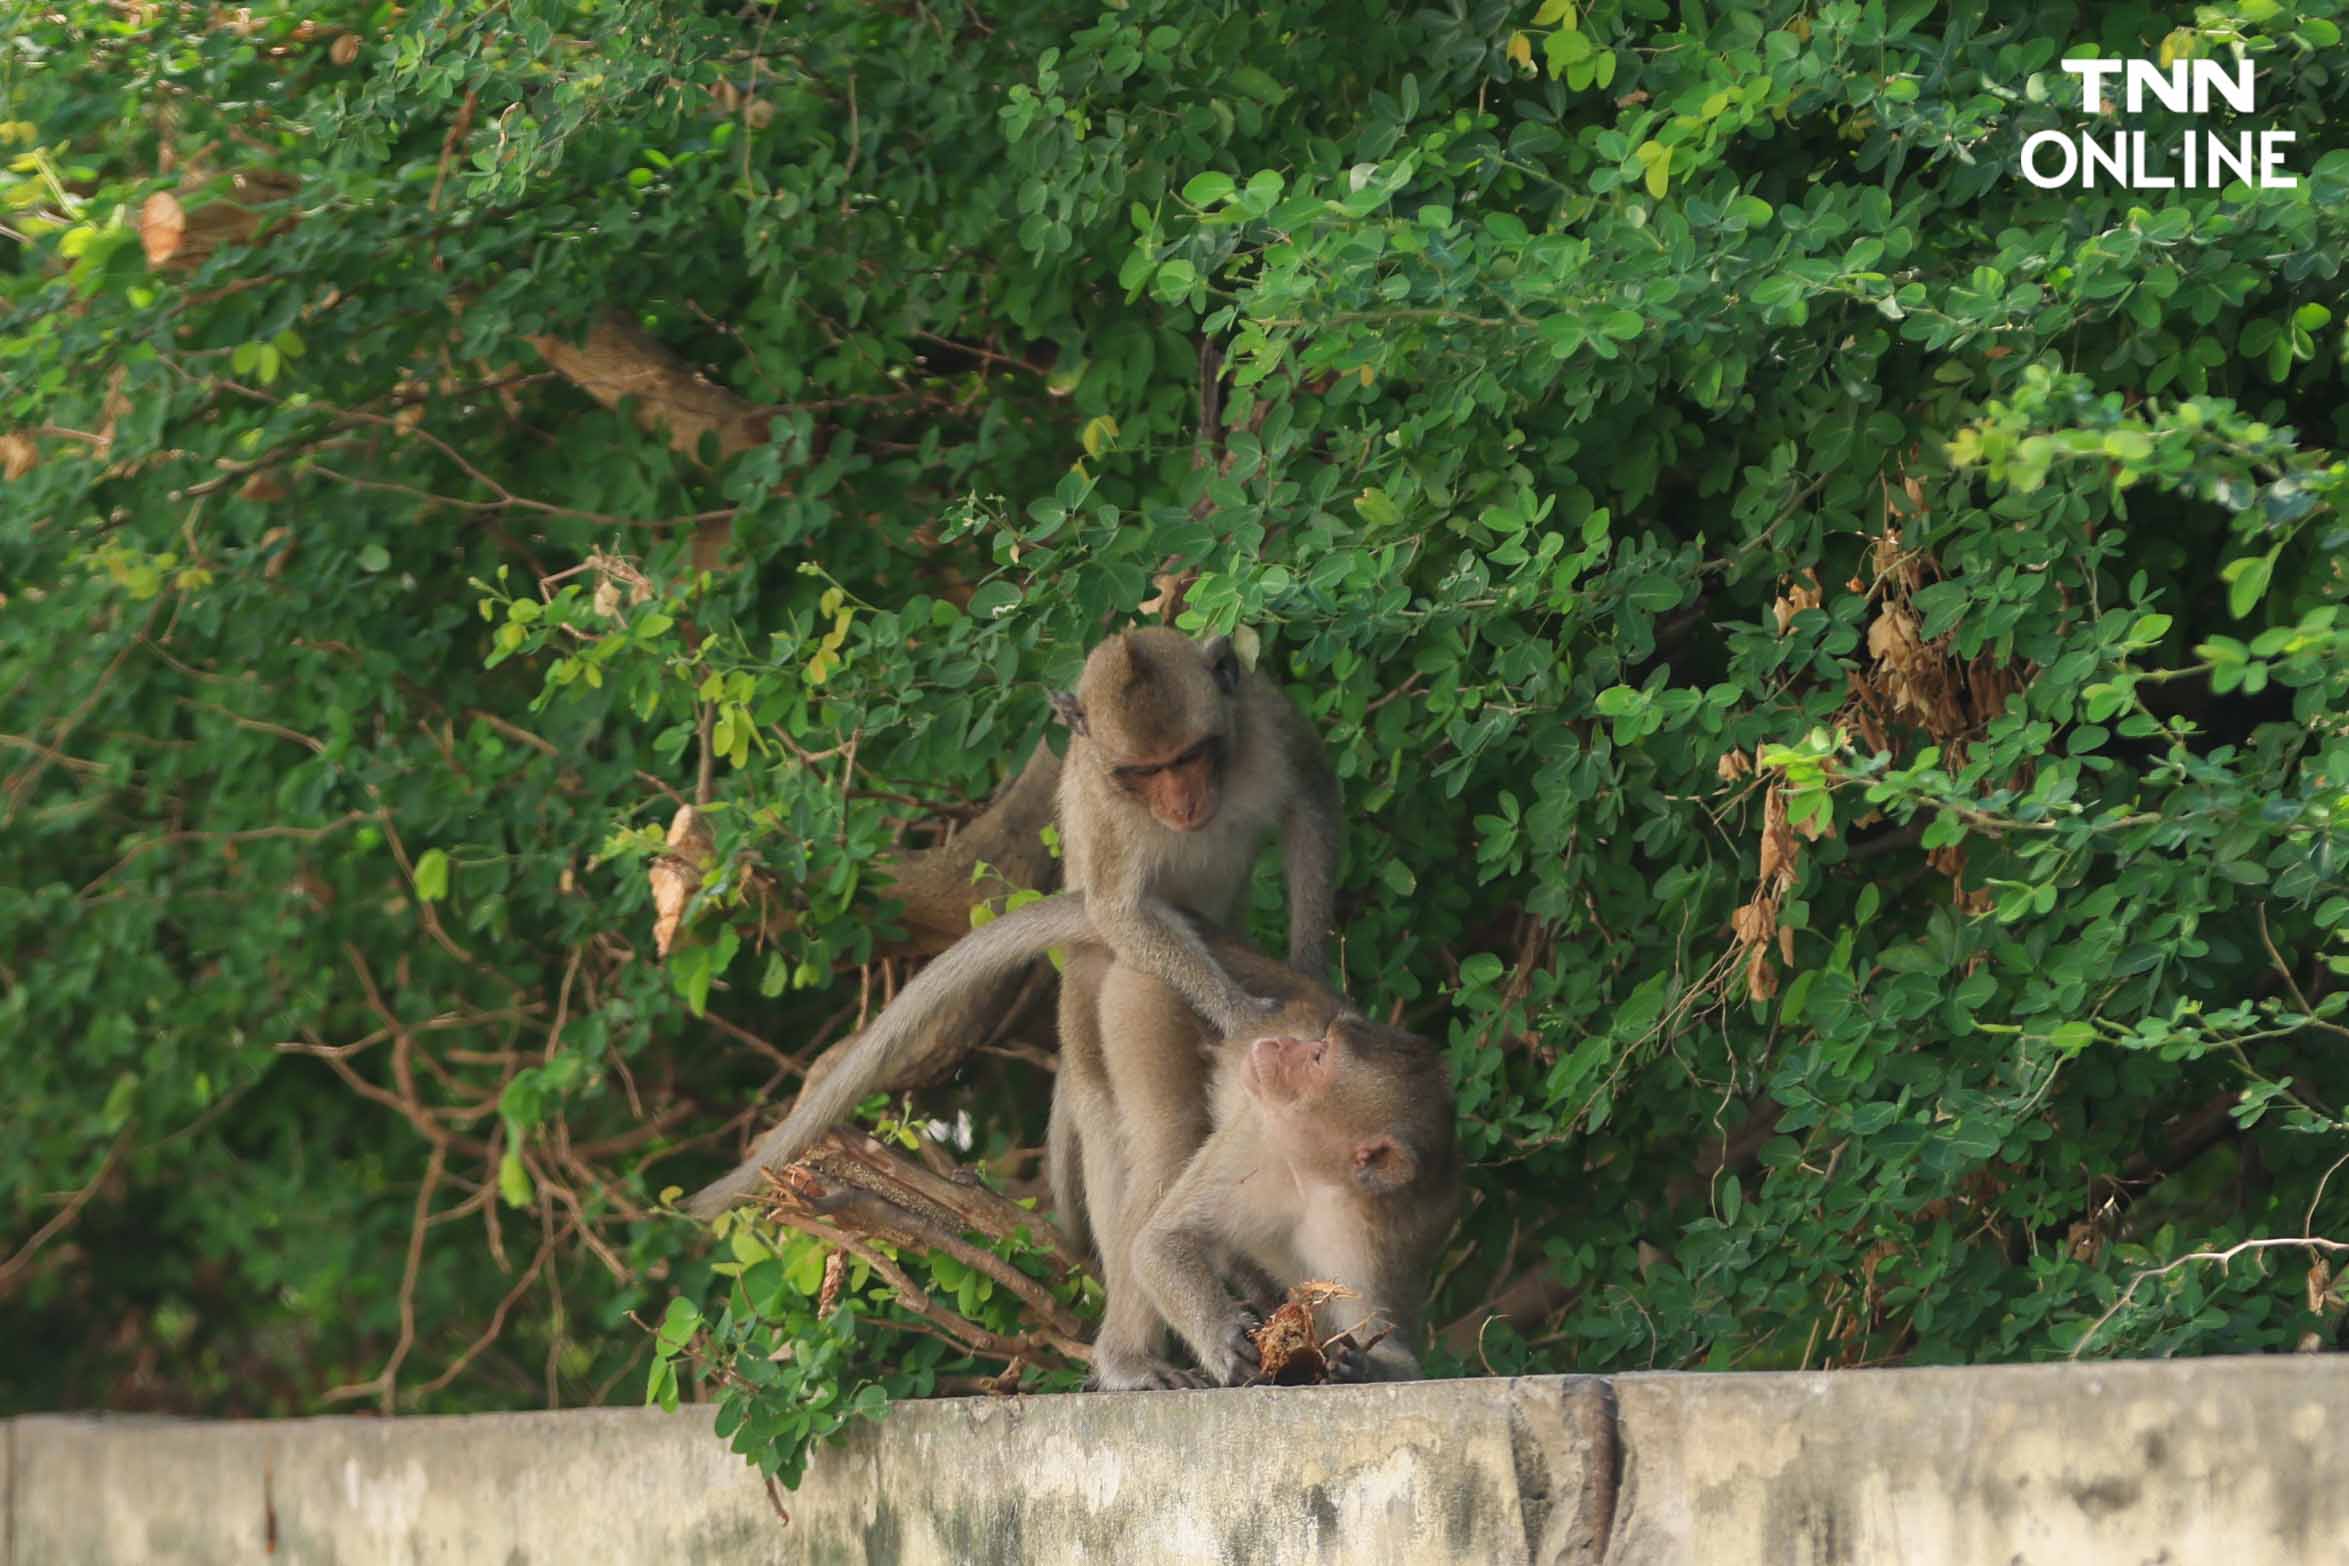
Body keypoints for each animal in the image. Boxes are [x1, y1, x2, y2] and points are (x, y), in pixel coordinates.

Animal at [681, 624, 1343, 1220]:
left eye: (1190, 757)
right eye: (1143, 772)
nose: (1184, 803)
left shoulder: (1265, 718)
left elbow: (1311, 805)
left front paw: (1310, 964)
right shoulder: (1107, 809)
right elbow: (1120, 909)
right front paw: (1239, 1012)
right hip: (1087, 991)